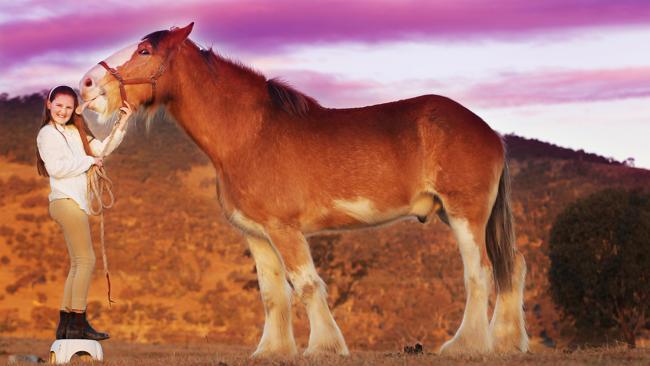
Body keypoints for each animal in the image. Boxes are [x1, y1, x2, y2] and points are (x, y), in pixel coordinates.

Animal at [79, 22, 528, 358]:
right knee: (513, 266)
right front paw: (272, 351)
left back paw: (466, 346)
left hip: (465, 214)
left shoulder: (285, 230)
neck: (248, 136)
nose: (85, 85)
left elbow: (307, 285)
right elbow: (273, 294)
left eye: (144, 52)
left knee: (479, 272)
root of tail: (488, 131)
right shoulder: (257, 235)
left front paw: (325, 347)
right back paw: (507, 342)